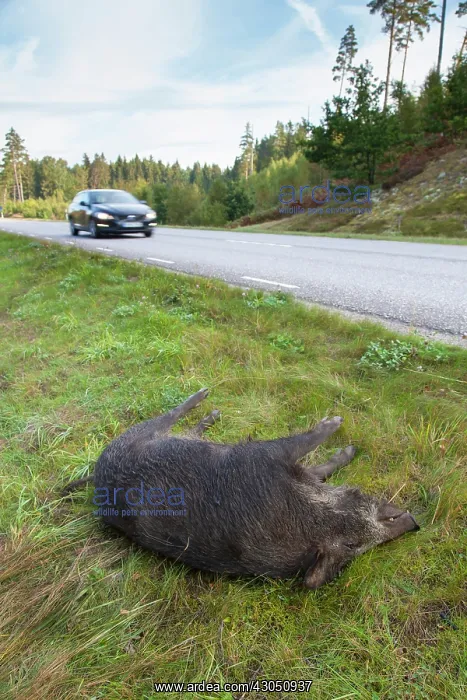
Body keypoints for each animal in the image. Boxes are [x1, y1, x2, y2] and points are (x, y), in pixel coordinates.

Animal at [63, 388, 420, 589]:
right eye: (351, 545)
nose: (414, 522)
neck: (305, 514)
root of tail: (96, 475)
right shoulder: (267, 455)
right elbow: (309, 442)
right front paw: (337, 423)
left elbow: (321, 467)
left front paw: (348, 447)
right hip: (138, 435)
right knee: (173, 415)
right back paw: (206, 395)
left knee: (190, 428)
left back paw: (214, 411)